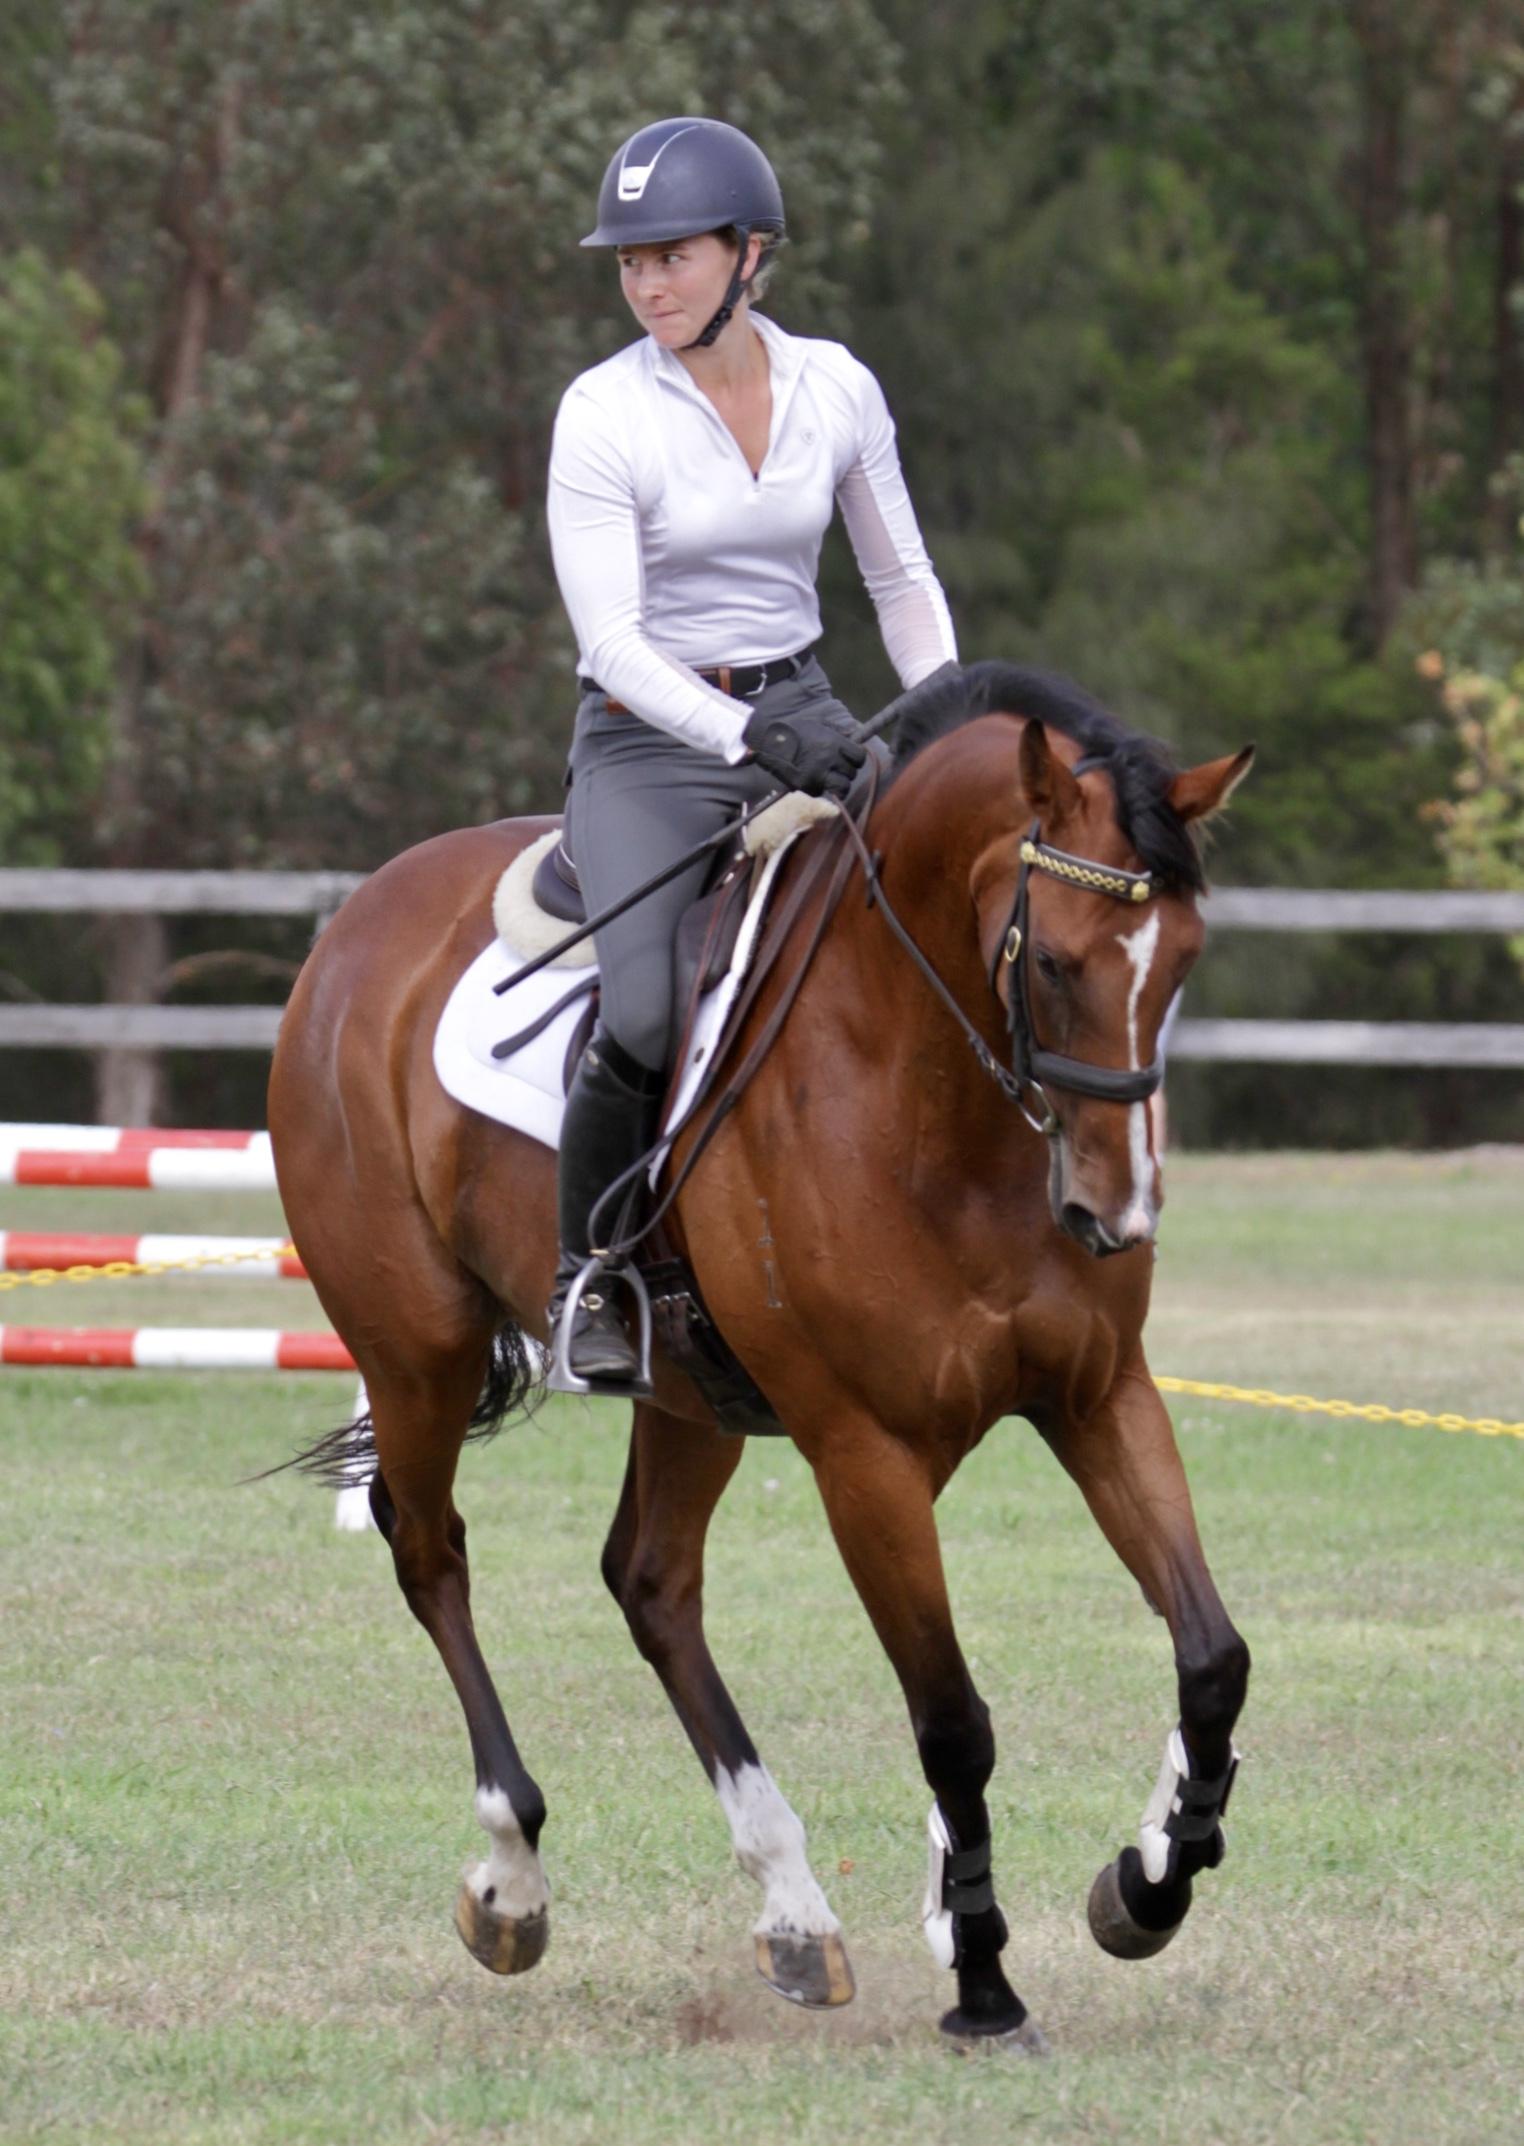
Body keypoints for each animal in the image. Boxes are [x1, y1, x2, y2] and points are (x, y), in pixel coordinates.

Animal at [267, 661, 1254, 2052]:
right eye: (1054, 960)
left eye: (1183, 962)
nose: (1116, 1215)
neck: (932, 1095)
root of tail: (360, 918)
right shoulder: (863, 1454)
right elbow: (952, 1720)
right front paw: (984, 1979)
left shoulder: (1098, 1396)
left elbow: (1211, 1657)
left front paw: (1146, 1883)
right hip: (419, 1348)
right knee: (430, 1552)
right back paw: (514, 1873)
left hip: (688, 1397)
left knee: (651, 1582)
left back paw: (794, 1910)